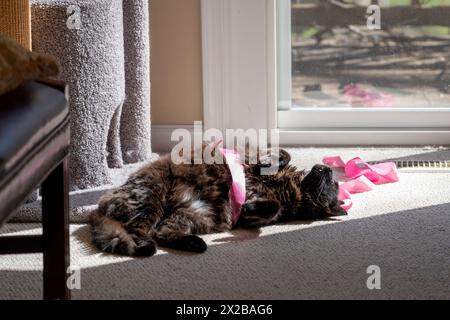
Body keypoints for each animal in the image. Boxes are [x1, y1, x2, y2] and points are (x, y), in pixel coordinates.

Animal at [90, 146, 344, 256]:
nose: (325, 168)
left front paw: (251, 204)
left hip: (194, 214)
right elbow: (282, 155)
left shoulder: (252, 217)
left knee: (160, 232)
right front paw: (277, 160)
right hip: (152, 196)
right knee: (141, 231)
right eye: (333, 180)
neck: (292, 188)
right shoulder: (251, 162)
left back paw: (194, 244)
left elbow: (272, 208)